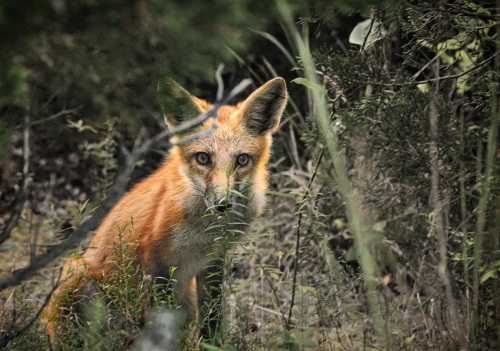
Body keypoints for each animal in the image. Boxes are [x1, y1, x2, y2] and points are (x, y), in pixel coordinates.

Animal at [44, 76, 288, 346]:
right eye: (203, 158)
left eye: (242, 160)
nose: (222, 203)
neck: (204, 231)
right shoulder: (157, 262)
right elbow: (162, 323)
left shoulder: (213, 261)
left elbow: (212, 320)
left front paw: (213, 346)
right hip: (78, 273)